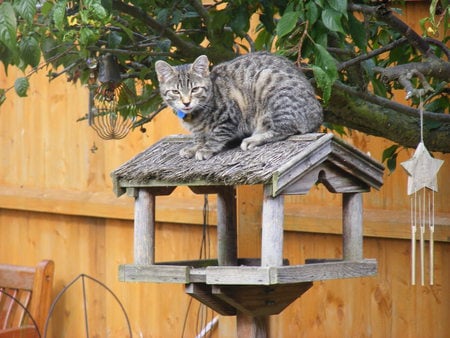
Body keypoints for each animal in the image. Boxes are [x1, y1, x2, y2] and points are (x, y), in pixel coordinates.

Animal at [156, 52, 324, 160]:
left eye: (195, 89)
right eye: (175, 92)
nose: (186, 102)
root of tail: (317, 114)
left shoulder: (229, 117)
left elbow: (216, 135)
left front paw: (205, 149)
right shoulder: (199, 131)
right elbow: (200, 137)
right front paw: (195, 147)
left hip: (268, 83)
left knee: (284, 129)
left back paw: (253, 139)